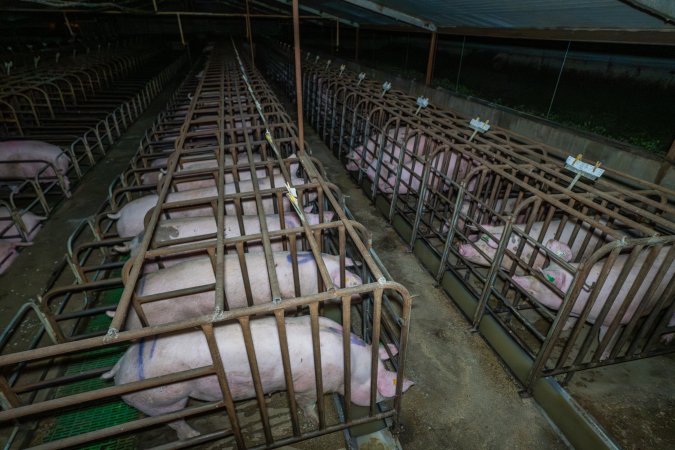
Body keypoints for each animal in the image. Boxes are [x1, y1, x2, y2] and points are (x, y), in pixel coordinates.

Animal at [101, 314, 414, 438]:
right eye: (380, 387)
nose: (381, 400)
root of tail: (120, 368)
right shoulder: (305, 385)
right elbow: (307, 404)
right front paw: (314, 420)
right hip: (164, 400)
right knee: (175, 422)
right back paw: (195, 434)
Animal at [516, 241, 672, 354]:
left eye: (542, 281)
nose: (515, 277)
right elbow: (571, 319)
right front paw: (564, 328)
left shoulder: (616, 319)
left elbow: (605, 339)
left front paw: (603, 356)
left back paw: (664, 339)